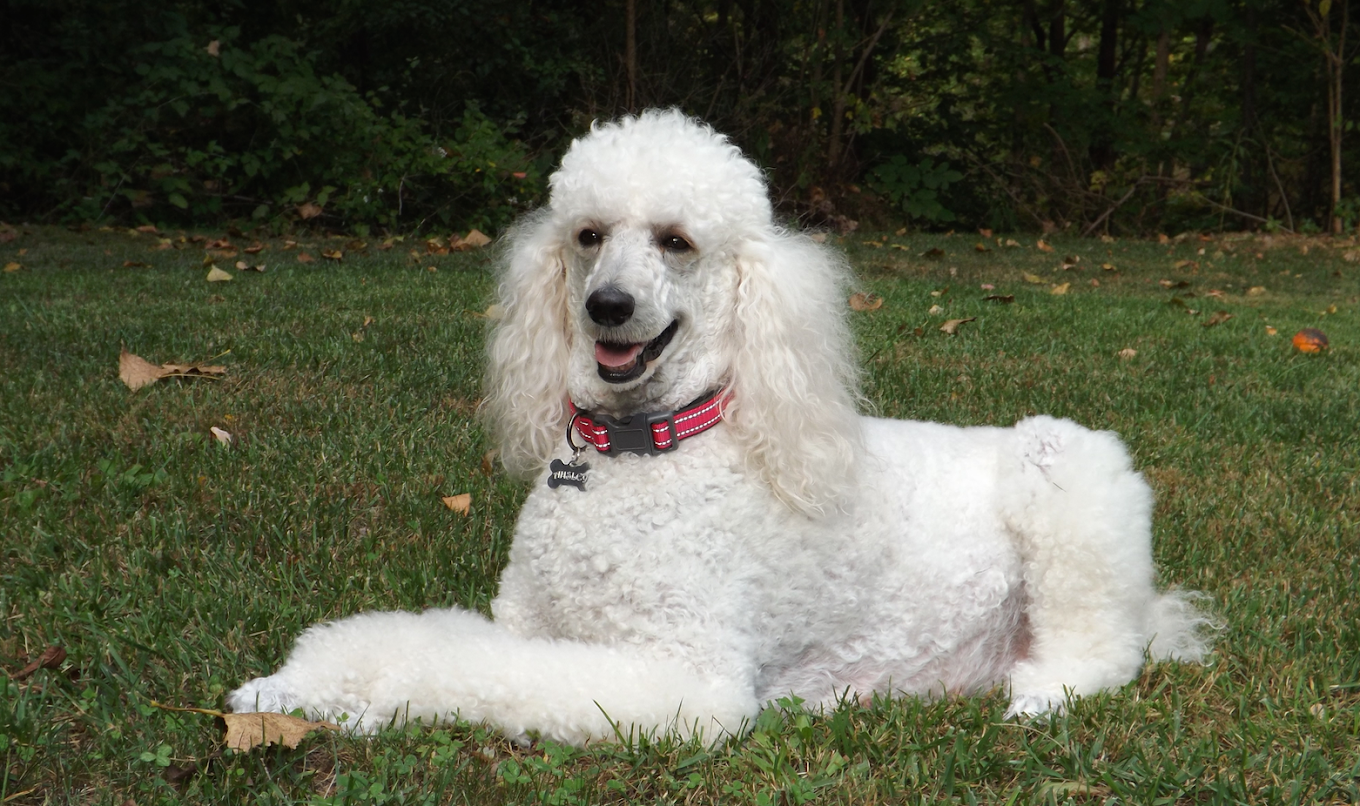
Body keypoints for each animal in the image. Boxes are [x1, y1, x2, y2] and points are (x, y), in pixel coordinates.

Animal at [229, 110, 1212, 745]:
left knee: (1104, 653)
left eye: (676, 241)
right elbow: (424, 637)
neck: (645, 450)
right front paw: (298, 685)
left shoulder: (685, 681)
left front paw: (370, 701)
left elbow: (474, 673)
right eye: (588, 235)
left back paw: (1040, 694)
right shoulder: (525, 621)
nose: (607, 307)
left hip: (1065, 467)